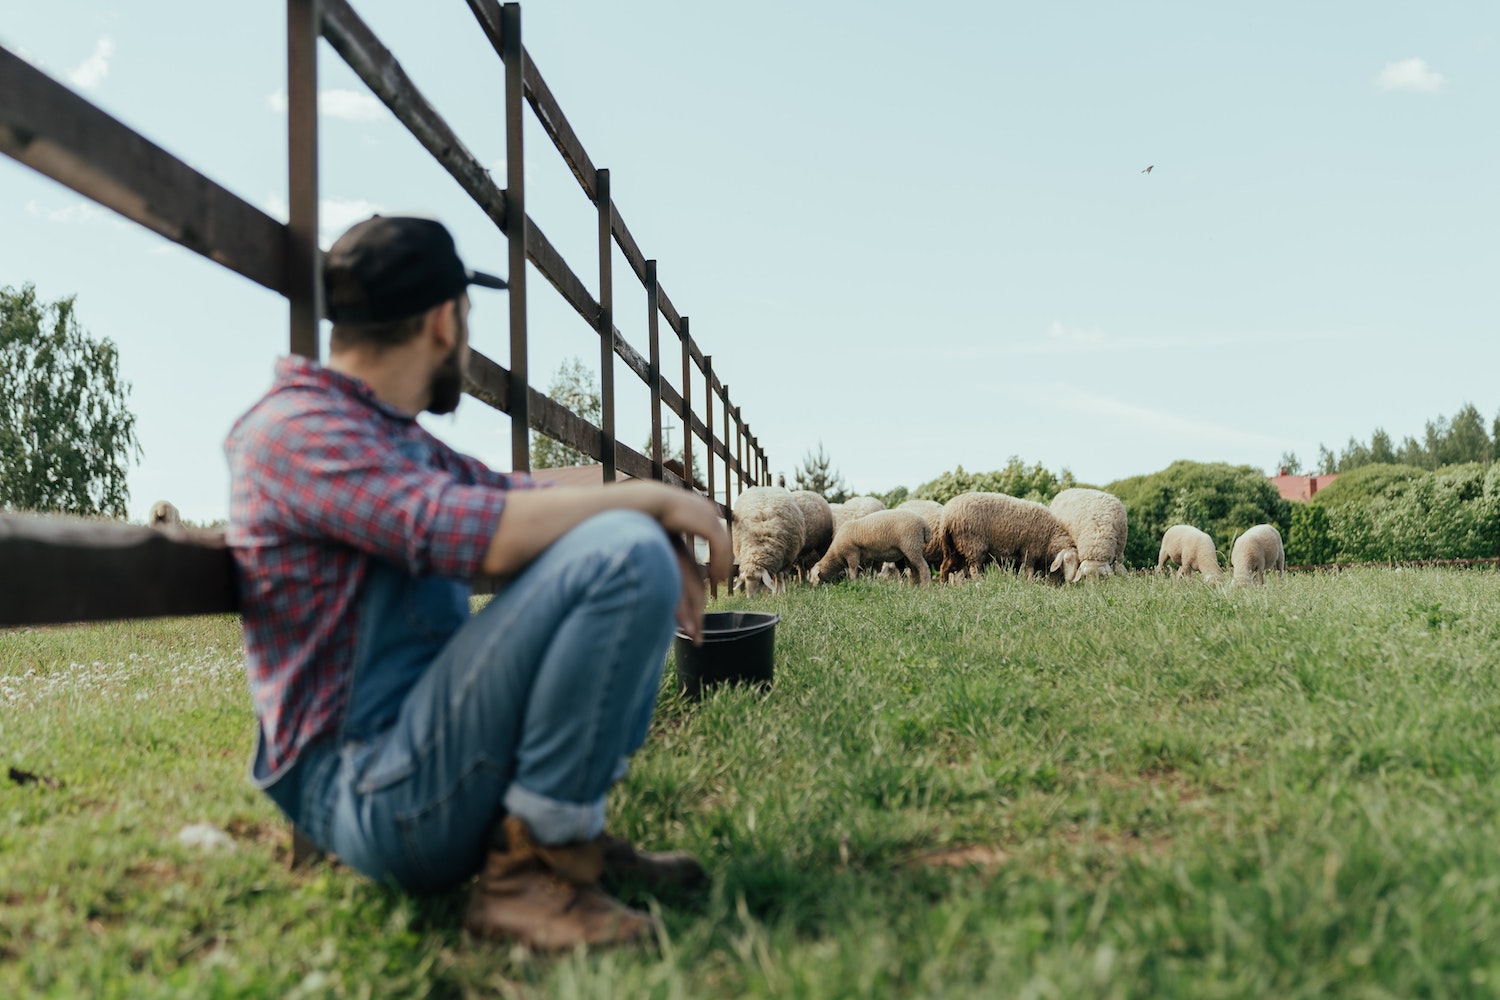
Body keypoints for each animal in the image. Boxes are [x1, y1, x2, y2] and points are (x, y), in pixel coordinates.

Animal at [938, 492, 1078, 584]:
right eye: (1067, 560)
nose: (1071, 581)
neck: (1050, 535)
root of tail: (946, 517)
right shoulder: (1029, 551)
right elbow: (1029, 571)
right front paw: (1029, 584)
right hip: (972, 544)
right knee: (973, 569)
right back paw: (980, 583)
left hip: (953, 548)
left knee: (945, 567)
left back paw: (944, 586)